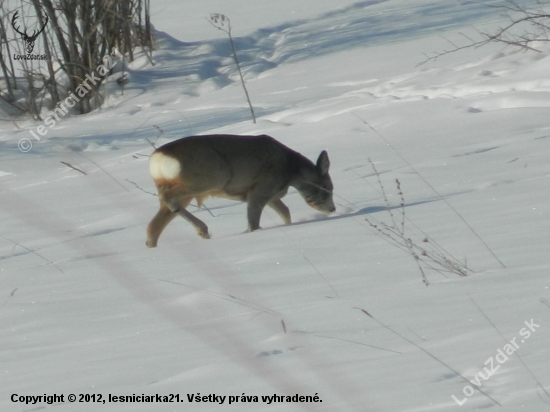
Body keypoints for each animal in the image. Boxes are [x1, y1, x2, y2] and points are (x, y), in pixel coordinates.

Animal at [147, 135, 334, 246]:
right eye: (328, 188)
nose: (332, 208)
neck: (291, 171)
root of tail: (157, 160)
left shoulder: (272, 196)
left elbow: (285, 213)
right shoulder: (261, 190)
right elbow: (253, 223)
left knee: (153, 226)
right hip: (210, 178)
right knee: (167, 198)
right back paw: (201, 228)